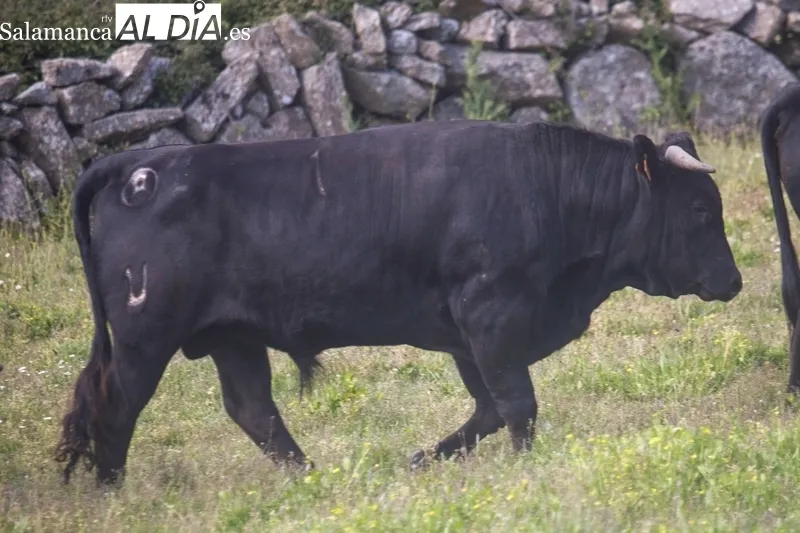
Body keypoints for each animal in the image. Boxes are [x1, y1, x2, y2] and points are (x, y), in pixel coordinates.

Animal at [54, 119, 742, 487]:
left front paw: (419, 459)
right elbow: (517, 405)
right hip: (145, 336)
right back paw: (113, 492)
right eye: (699, 210)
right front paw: (528, 467)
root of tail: (138, 164)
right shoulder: (490, 316)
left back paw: (314, 480)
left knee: (253, 409)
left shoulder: (469, 336)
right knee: (115, 407)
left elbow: (489, 409)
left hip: (233, 335)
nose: (734, 281)